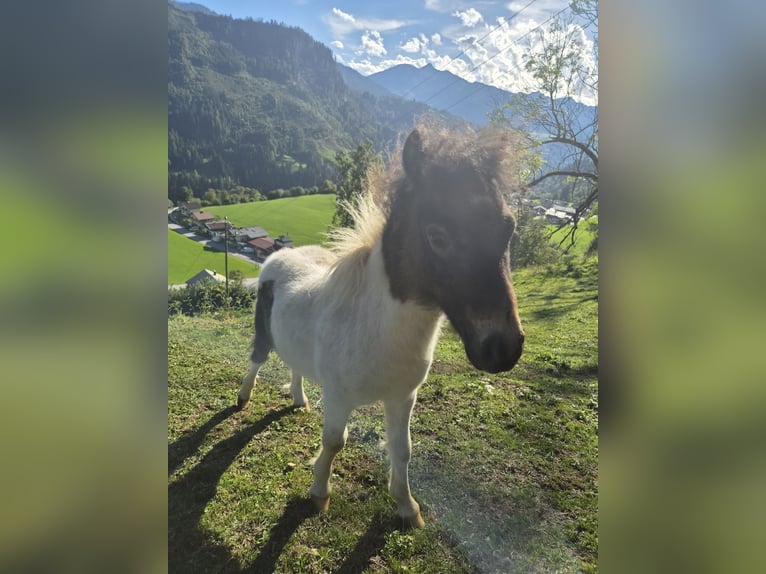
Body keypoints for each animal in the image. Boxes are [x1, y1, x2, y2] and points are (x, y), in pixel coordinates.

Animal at [237, 123, 526, 528]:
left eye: (508, 227)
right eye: (438, 236)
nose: (503, 348)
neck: (376, 329)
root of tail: (278, 256)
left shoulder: (402, 397)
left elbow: (402, 450)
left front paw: (408, 507)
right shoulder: (339, 397)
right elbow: (334, 441)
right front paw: (319, 493)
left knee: (296, 367)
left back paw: (299, 399)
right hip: (263, 336)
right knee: (257, 359)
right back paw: (243, 397)